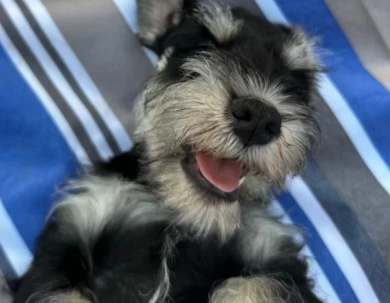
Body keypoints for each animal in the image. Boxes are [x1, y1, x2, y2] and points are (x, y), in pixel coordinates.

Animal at [13, 0, 322, 303]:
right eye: (205, 43)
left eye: (298, 79)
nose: (259, 118)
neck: (183, 215)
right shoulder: (68, 241)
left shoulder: (275, 257)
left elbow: (257, 287)